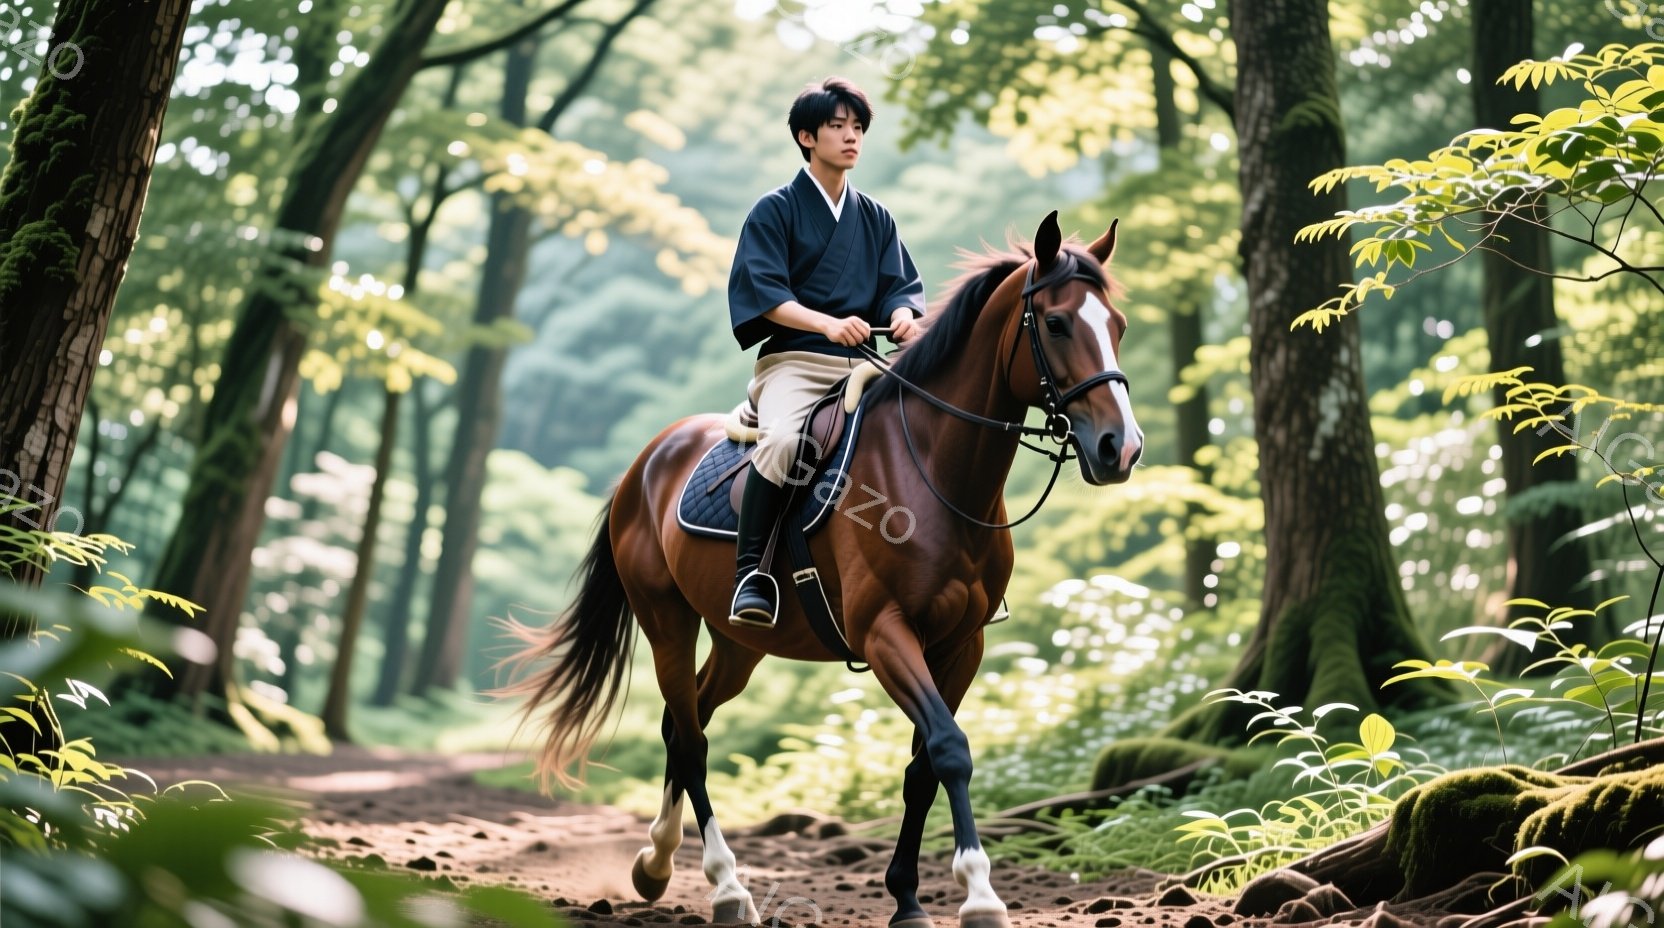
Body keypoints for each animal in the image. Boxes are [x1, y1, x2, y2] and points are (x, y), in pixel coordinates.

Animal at [502, 210, 1142, 928]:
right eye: (1056, 323)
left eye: (1117, 326)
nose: (1121, 448)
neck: (932, 467)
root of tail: (648, 460)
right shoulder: (885, 633)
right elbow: (950, 749)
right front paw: (979, 894)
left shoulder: (961, 645)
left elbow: (924, 766)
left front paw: (908, 898)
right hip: (666, 621)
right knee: (691, 741)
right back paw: (727, 888)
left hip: (738, 643)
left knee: (682, 722)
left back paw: (656, 863)